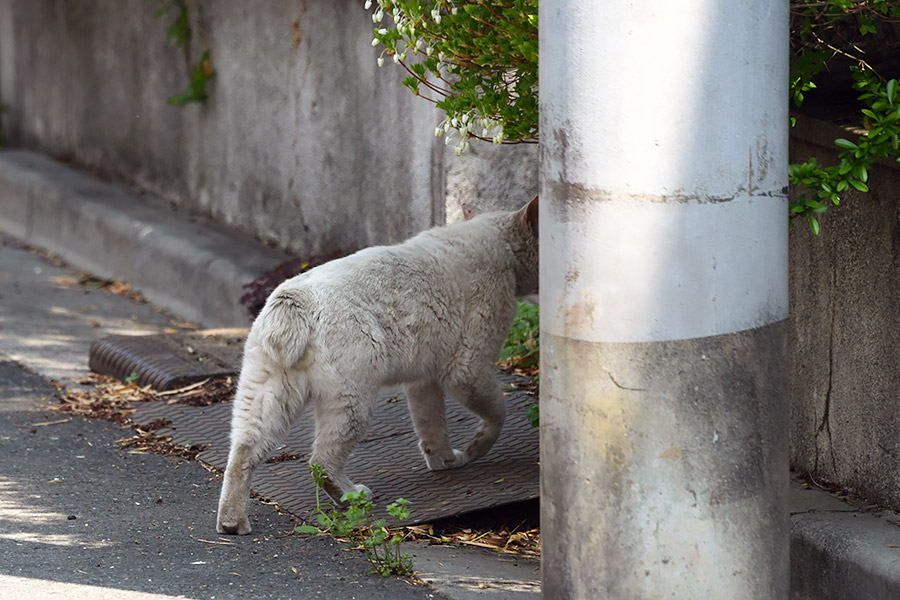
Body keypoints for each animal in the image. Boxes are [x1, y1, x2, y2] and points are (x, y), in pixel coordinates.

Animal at [218, 197, 536, 536]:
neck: (493, 243)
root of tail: (294, 300)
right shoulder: (468, 367)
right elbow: (496, 414)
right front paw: (475, 448)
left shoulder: (424, 379)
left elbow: (431, 424)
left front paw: (445, 462)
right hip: (353, 398)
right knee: (321, 460)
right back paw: (353, 496)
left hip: (266, 392)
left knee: (242, 452)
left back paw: (232, 523)